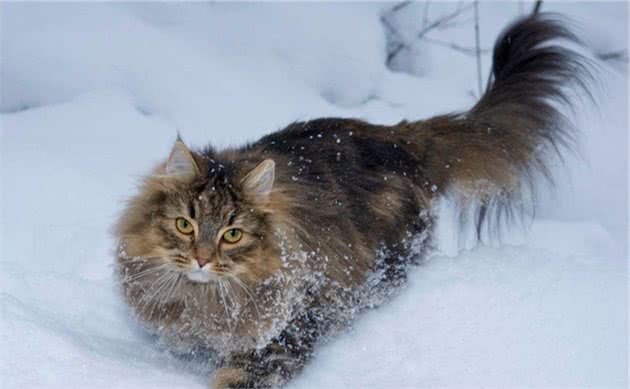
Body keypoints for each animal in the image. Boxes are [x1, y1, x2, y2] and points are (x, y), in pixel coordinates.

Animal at [113, 13, 592, 386]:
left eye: (232, 234)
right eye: (185, 225)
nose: (202, 259)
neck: (201, 301)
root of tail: (396, 136)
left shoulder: (286, 334)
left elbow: (235, 376)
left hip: (384, 266)